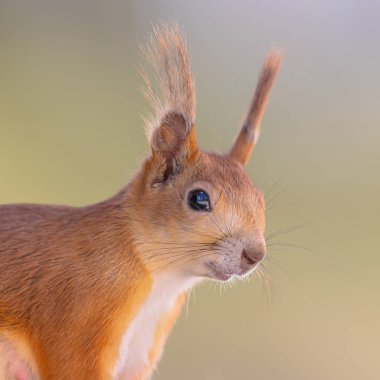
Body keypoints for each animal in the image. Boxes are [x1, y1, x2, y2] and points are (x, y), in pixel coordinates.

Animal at [0, 23, 280, 378]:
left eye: (260, 200)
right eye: (199, 199)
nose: (254, 255)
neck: (163, 281)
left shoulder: (140, 353)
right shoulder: (75, 321)